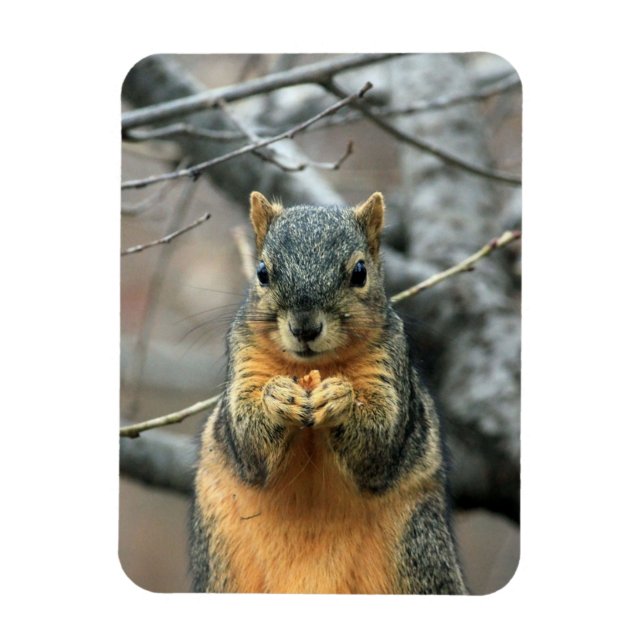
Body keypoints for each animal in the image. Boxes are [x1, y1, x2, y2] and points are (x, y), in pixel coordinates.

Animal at [190, 191, 468, 594]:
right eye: (262, 273)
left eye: (359, 272)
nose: (305, 328)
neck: (311, 369)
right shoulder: (244, 361)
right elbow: (247, 442)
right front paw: (276, 399)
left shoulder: (389, 366)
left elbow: (380, 442)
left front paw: (341, 401)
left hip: (418, 551)